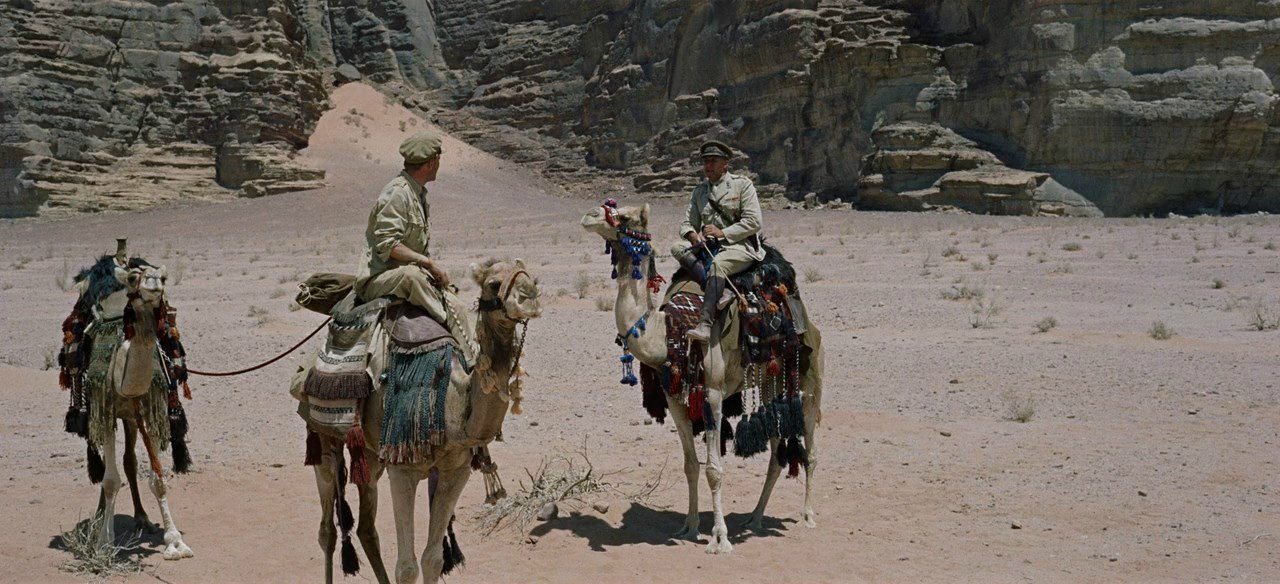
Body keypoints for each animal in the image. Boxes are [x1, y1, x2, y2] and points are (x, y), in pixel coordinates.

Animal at [64, 245, 195, 561]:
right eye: (135, 277)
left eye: (164, 276)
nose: (154, 283)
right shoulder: (106, 410)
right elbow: (111, 480)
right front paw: (104, 542)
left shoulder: (148, 410)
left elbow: (157, 478)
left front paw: (174, 540)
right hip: (98, 413)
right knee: (105, 466)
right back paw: (100, 517)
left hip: (131, 417)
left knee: (129, 461)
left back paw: (141, 517)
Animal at [299, 258, 542, 584]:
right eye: (493, 283)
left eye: (533, 280)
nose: (529, 297)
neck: (450, 402)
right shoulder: (403, 469)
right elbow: (407, 567)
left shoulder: (457, 470)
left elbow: (433, 559)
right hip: (323, 437)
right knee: (328, 530)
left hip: (371, 454)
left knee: (366, 527)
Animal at [581, 202, 824, 555]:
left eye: (623, 216)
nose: (588, 216)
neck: (668, 331)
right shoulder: (674, 398)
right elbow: (690, 465)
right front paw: (690, 526)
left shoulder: (712, 393)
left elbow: (714, 469)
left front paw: (719, 538)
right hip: (769, 382)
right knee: (777, 454)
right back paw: (755, 518)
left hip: (810, 375)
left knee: (810, 447)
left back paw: (806, 516)